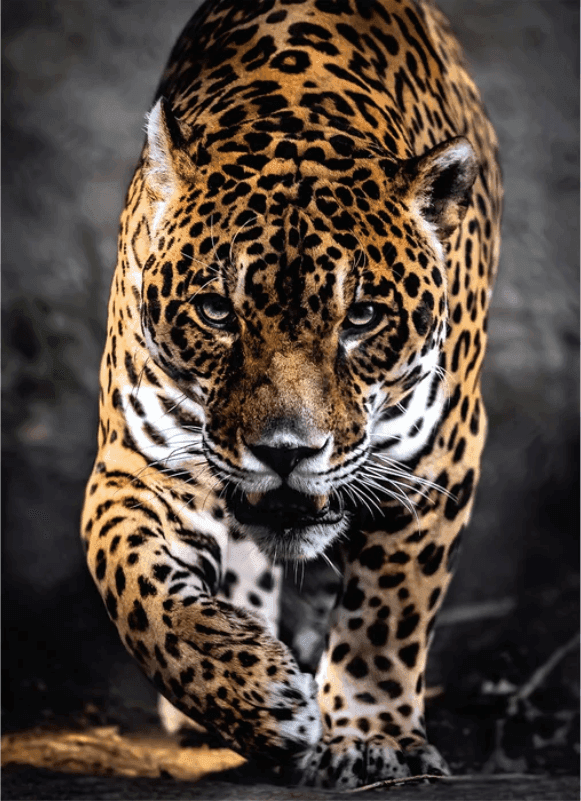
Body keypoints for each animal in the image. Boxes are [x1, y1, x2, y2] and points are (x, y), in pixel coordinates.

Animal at [81, 0, 502, 788]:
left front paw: (372, 737)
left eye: (361, 317)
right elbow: (135, 588)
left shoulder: (436, 461)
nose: (285, 452)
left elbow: (388, 612)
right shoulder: (137, 464)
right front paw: (252, 695)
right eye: (217, 311)